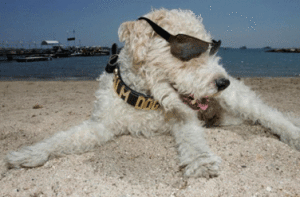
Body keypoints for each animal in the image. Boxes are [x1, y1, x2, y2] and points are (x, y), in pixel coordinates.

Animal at [6, 8, 300, 178]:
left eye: (211, 49)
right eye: (187, 51)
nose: (222, 82)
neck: (144, 99)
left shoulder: (184, 117)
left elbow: (192, 139)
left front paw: (200, 161)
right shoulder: (101, 125)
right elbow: (65, 138)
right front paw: (29, 154)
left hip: (242, 101)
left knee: (273, 116)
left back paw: (293, 133)